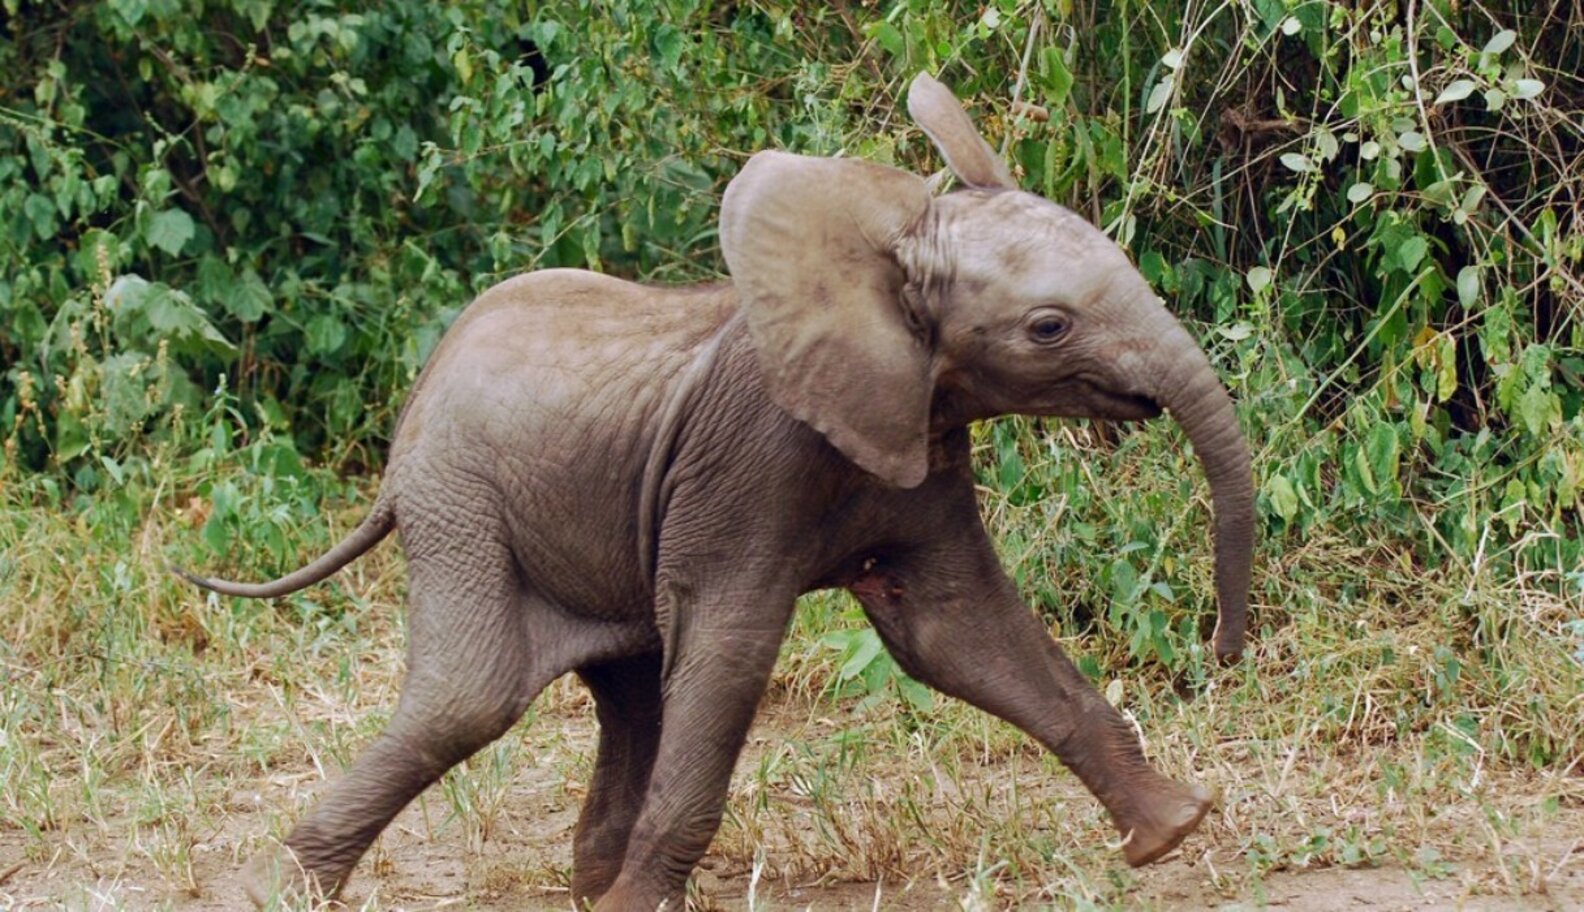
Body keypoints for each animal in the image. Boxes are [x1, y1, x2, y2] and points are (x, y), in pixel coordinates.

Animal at [176, 73, 1253, 910]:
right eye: (1048, 327)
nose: (1223, 655)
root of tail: (411, 419)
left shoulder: (919, 437)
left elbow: (955, 631)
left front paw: (1176, 829)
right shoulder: (749, 462)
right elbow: (733, 647)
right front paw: (639, 908)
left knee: (629, 686)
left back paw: (587, 886)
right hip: (459, 500)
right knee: (469, 701)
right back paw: (288, 891)